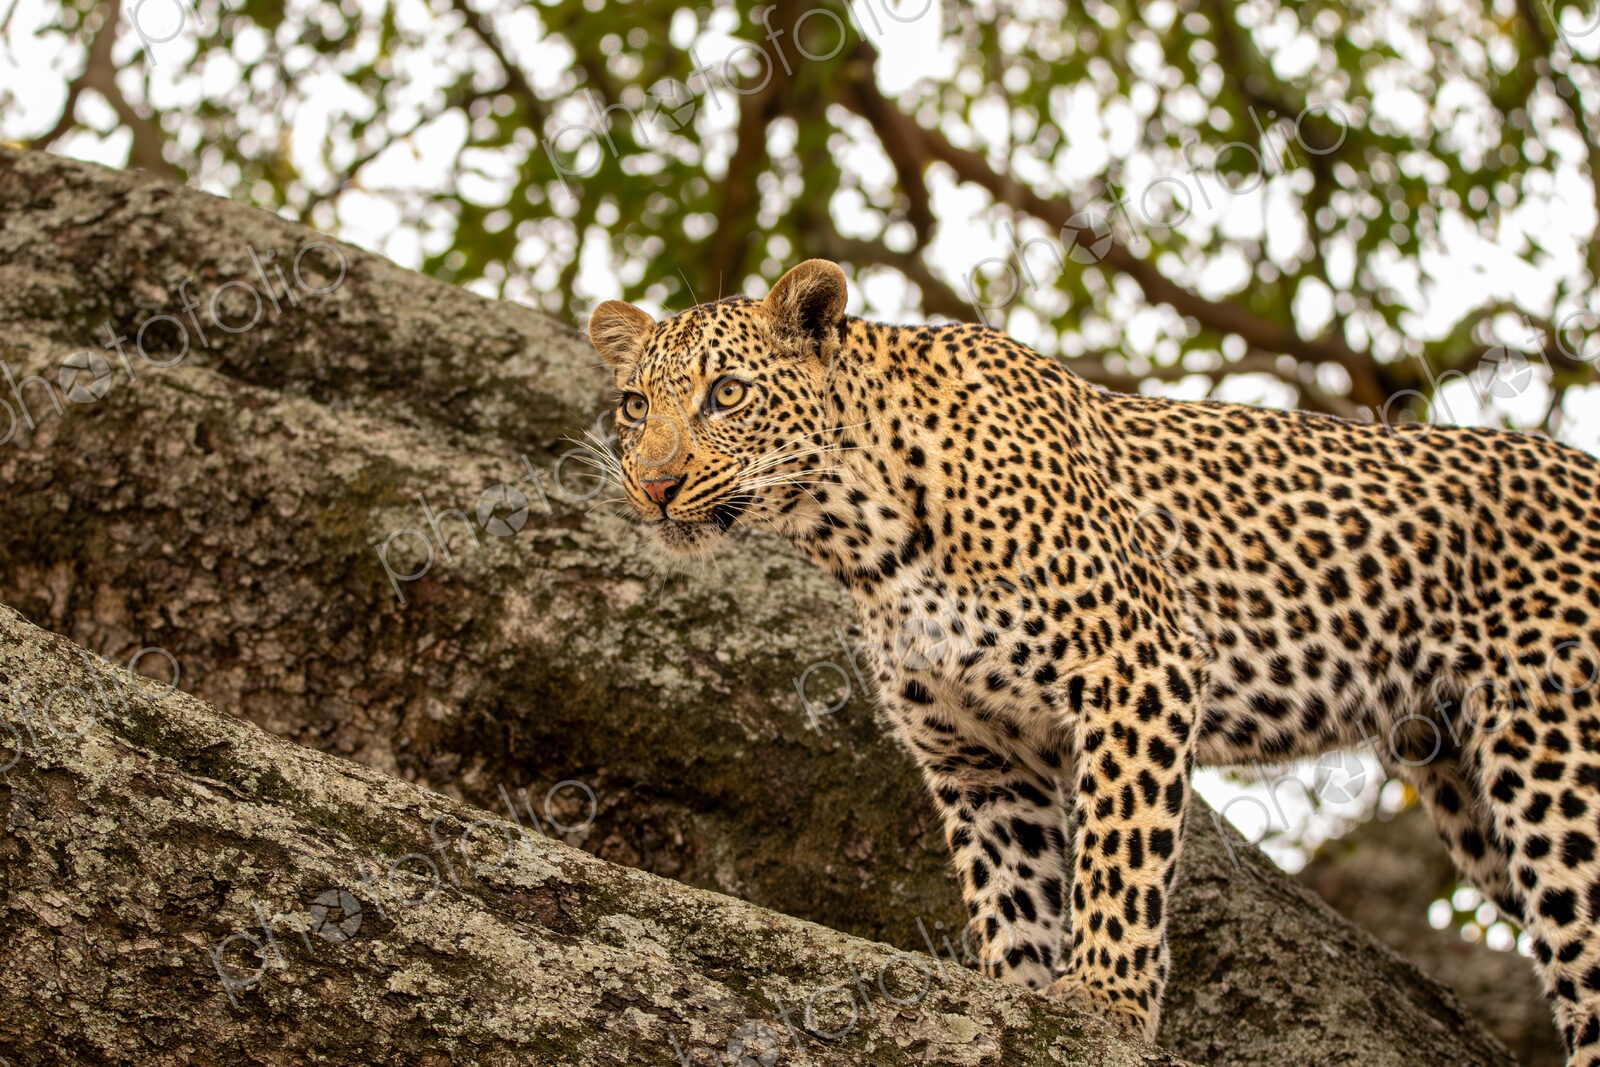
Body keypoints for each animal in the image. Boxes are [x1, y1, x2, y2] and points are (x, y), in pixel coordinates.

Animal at [588, 258, 1600, 1062]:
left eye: (726, 393)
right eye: (635, 406)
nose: (654, 483)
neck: (857, 531)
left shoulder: (1139, 664)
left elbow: (1119, 851)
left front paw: (1105, 998)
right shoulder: (976, 755)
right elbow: (1012, 888)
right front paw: (1024, 997)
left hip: (1554, 756)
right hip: (1469, 794)